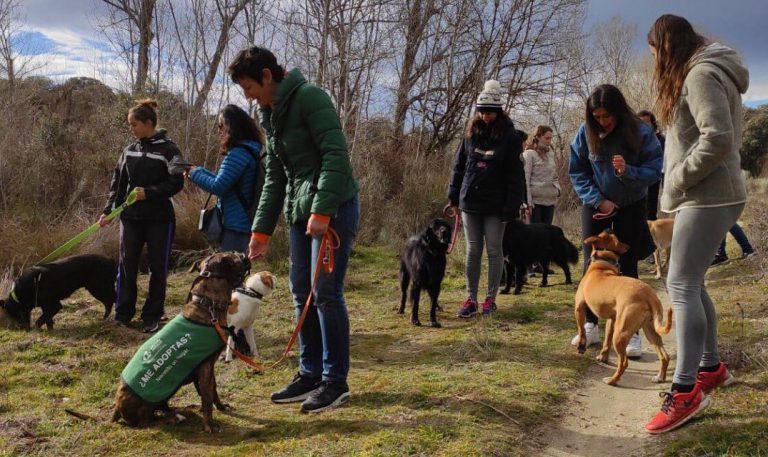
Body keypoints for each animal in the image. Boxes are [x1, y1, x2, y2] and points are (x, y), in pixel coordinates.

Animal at [111, 249, 248, 432]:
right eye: (234, 257)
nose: (244, 254)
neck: (207, 305)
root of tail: (117, 408)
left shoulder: (209, 366)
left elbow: (213, 390)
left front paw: (220, 407)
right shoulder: (205, 368)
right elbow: (207, 398)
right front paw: (210, 424)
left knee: (160, 410)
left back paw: (175, 412)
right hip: (144, 406)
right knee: (148, 423)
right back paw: (174, 418)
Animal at [572, 232, 676, 384]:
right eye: (618, 239)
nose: (629, 246)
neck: (601, 265)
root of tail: (649, 294)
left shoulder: (579, 307)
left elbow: (581, 330)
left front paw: (581, 346)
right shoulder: (612, 319)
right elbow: (606, 340)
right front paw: (603, 356)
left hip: (620, 334)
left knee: (624, 363)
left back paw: (612, 380)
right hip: (650, 330)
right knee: (664, 356)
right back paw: (660, 377)